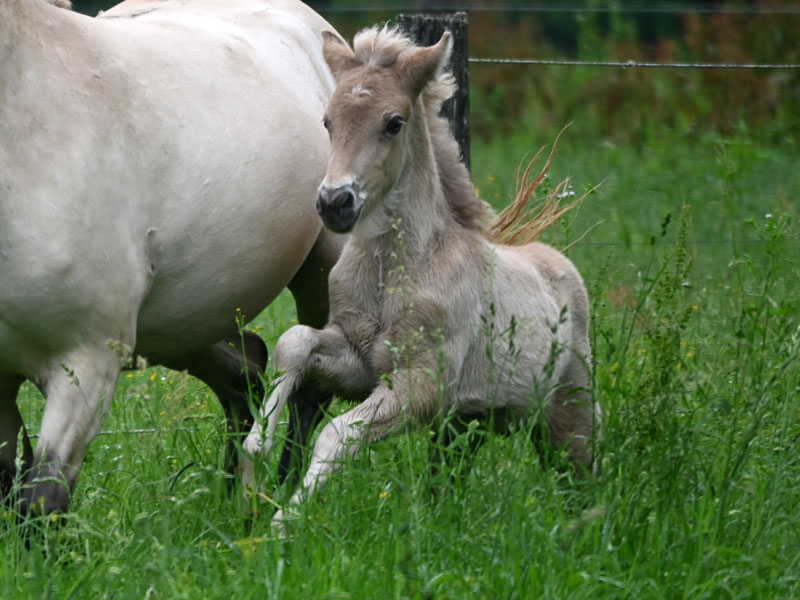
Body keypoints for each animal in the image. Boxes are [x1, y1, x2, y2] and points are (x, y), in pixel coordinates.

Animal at [0, 0, 345, 516]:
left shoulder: (85, 367)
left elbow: (40, 502)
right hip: (183, 326)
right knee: (246, 371)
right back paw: (235, 501)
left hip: (322, 280)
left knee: (307, 393)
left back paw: (281, 497)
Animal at [242, 25, 602, 532]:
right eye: (328, 121)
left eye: (393, 122)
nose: (334, 203)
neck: (393, 273)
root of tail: (559, 266)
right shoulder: (358, 362)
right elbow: (296, 342)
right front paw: (257, 451)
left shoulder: (420, 384)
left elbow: (337, 435)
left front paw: (281, 524)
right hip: (465, 425)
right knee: (448, 478)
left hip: (570, 415)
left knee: (581, 479)